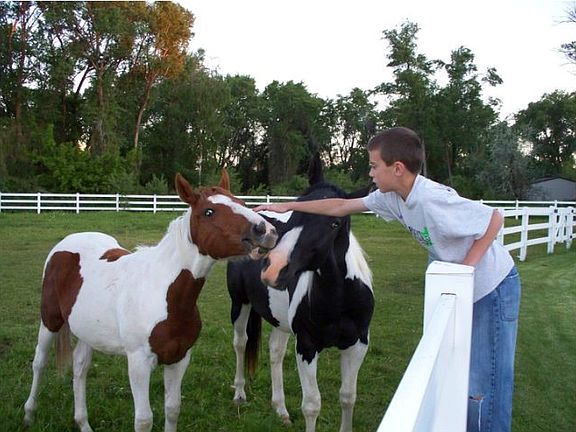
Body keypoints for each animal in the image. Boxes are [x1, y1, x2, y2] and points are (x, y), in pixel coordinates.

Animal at [23, 171, 278, 432]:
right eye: (209, 211)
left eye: (241, 202)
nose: (266, 230)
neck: (164, 292)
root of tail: (66, 244)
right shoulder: (139, 363)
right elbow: (144, 420)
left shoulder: (179, 359)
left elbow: (173, 409)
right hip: (50, 321)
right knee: (39, 362)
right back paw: (29, 414)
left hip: (87, 330)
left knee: (80, 366)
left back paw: (83, 423)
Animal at [227, 155, 374, 432]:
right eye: (295, 212)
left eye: (334, 223)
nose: (273, 268)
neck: (339, 299)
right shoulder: (307, 346)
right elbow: (312, 405)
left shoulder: (358, 344)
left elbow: (348, 397)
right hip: (239, 304)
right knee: (240, 343)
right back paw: (240, 394)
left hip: (280, 321)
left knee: (275, 352)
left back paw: (281, 409)